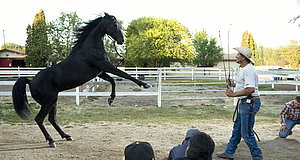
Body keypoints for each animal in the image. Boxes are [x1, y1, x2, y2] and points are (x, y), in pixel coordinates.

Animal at [12, 13, 150, 148]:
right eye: (114, 24)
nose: (121, 40)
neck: (91, 47)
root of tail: (30, 81)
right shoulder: (105, 66)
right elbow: (125, 75)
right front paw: (145, 85)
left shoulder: (101, 71)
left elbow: (113, 81)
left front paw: (110, 99)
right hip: (48, 102)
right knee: (39, 119)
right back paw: (51, 141)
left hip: (52, 101)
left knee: (52, 119)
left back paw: (66, 136)